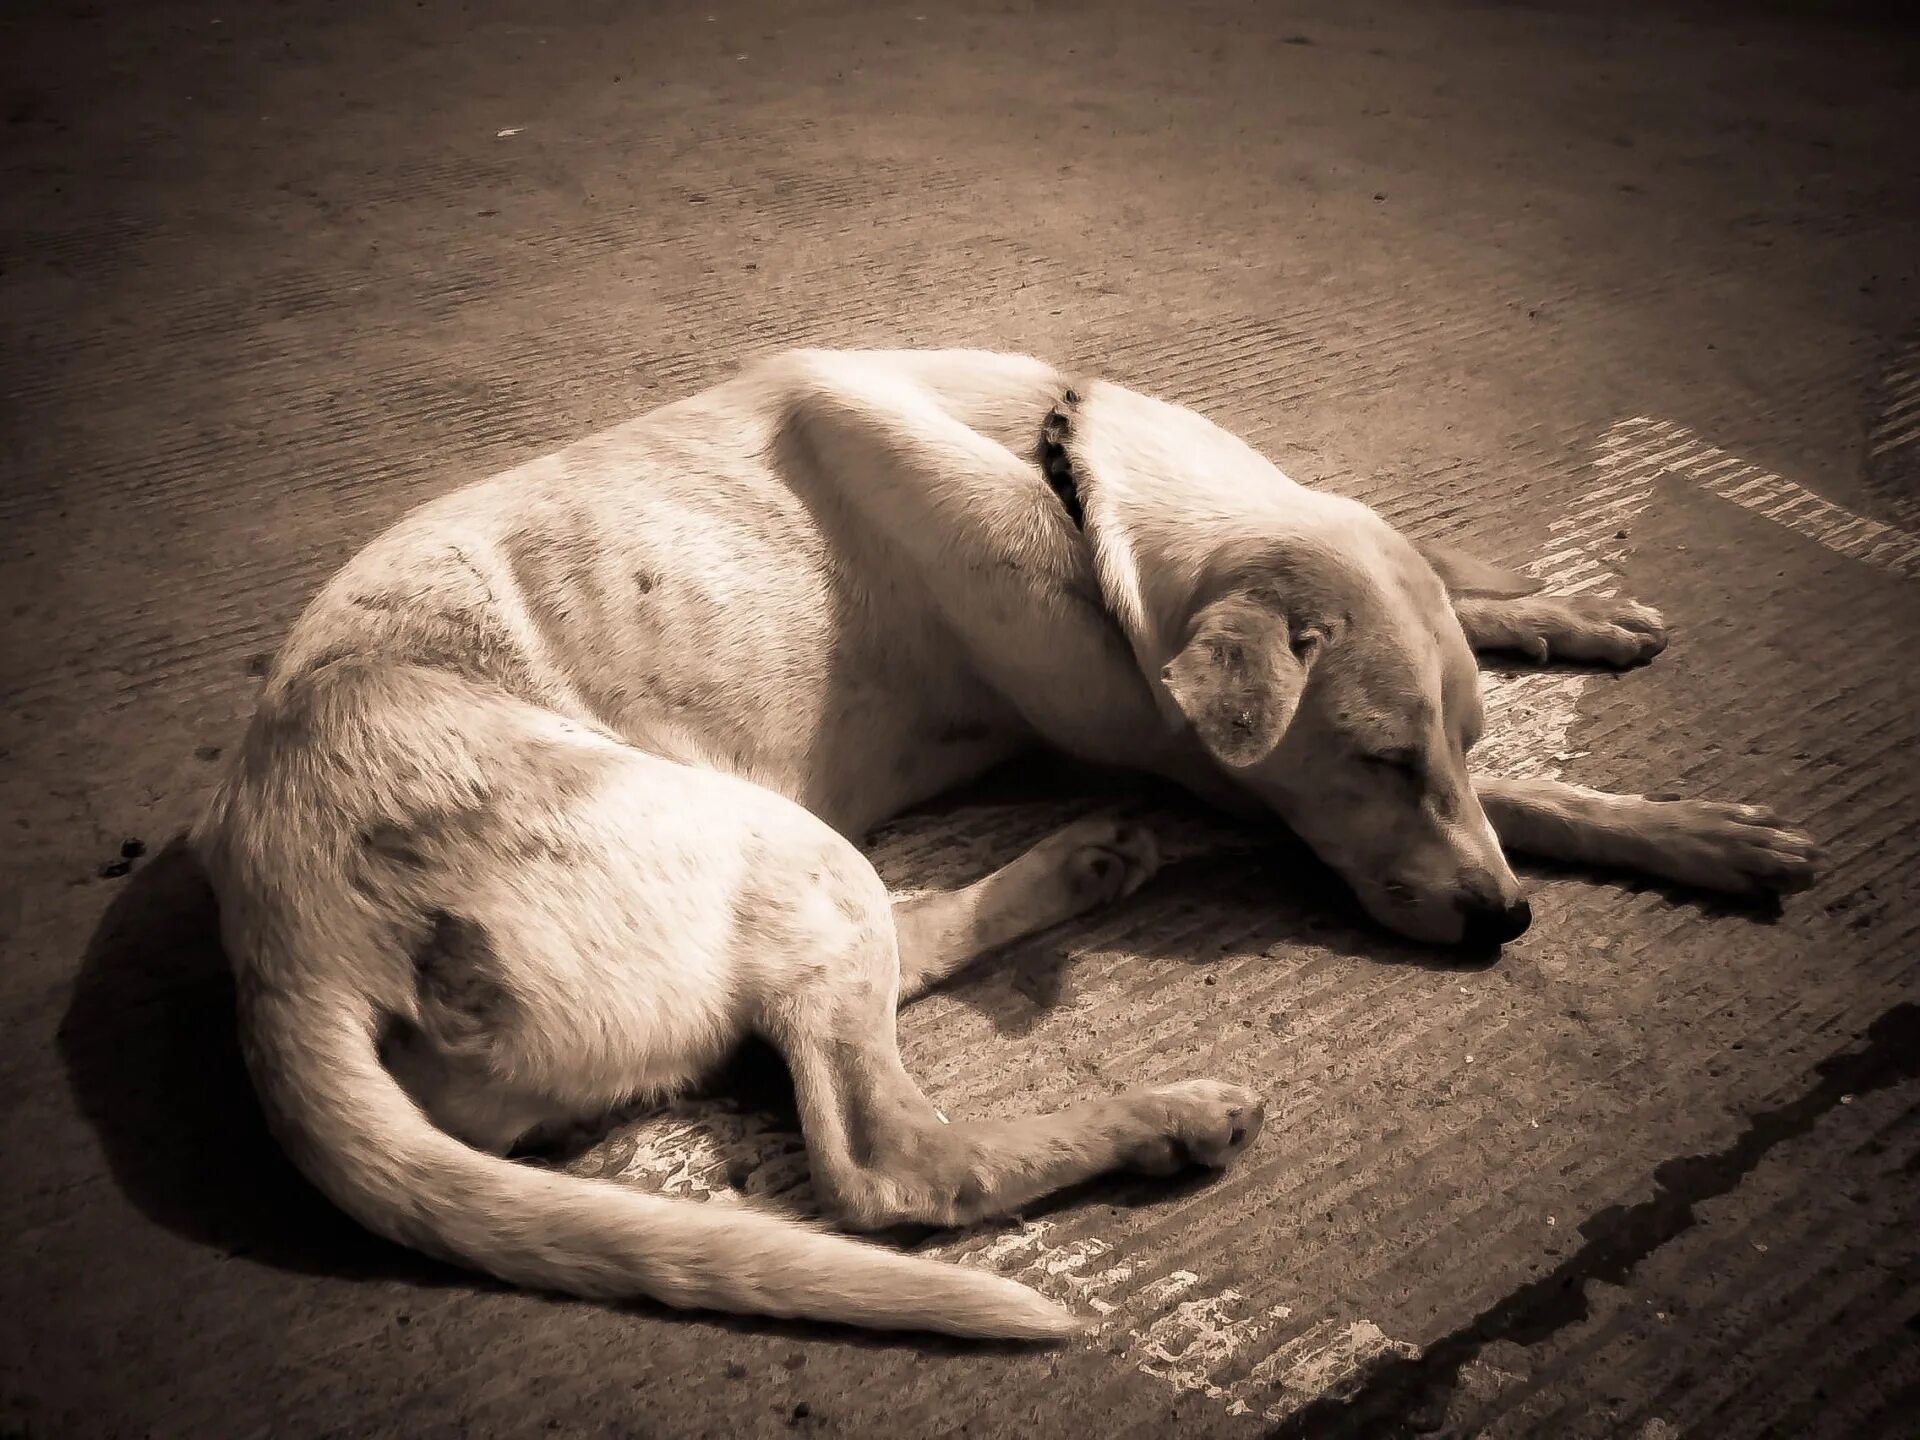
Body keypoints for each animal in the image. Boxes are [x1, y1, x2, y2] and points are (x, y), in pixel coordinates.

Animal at [191, 347, 1812, 1344]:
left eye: (1452, 744)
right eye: (1378, 761)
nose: (1504, 927)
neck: (1070, 481)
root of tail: (288, 955)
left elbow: (1469, 610)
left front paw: (1566, 618)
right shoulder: (1206, 763)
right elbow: (1516, 807)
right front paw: (1672, 830)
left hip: (784, 873)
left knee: (840, 1002)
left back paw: (1076, 873)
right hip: (778, 844)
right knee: (895, 1164)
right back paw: (1159, 1112)